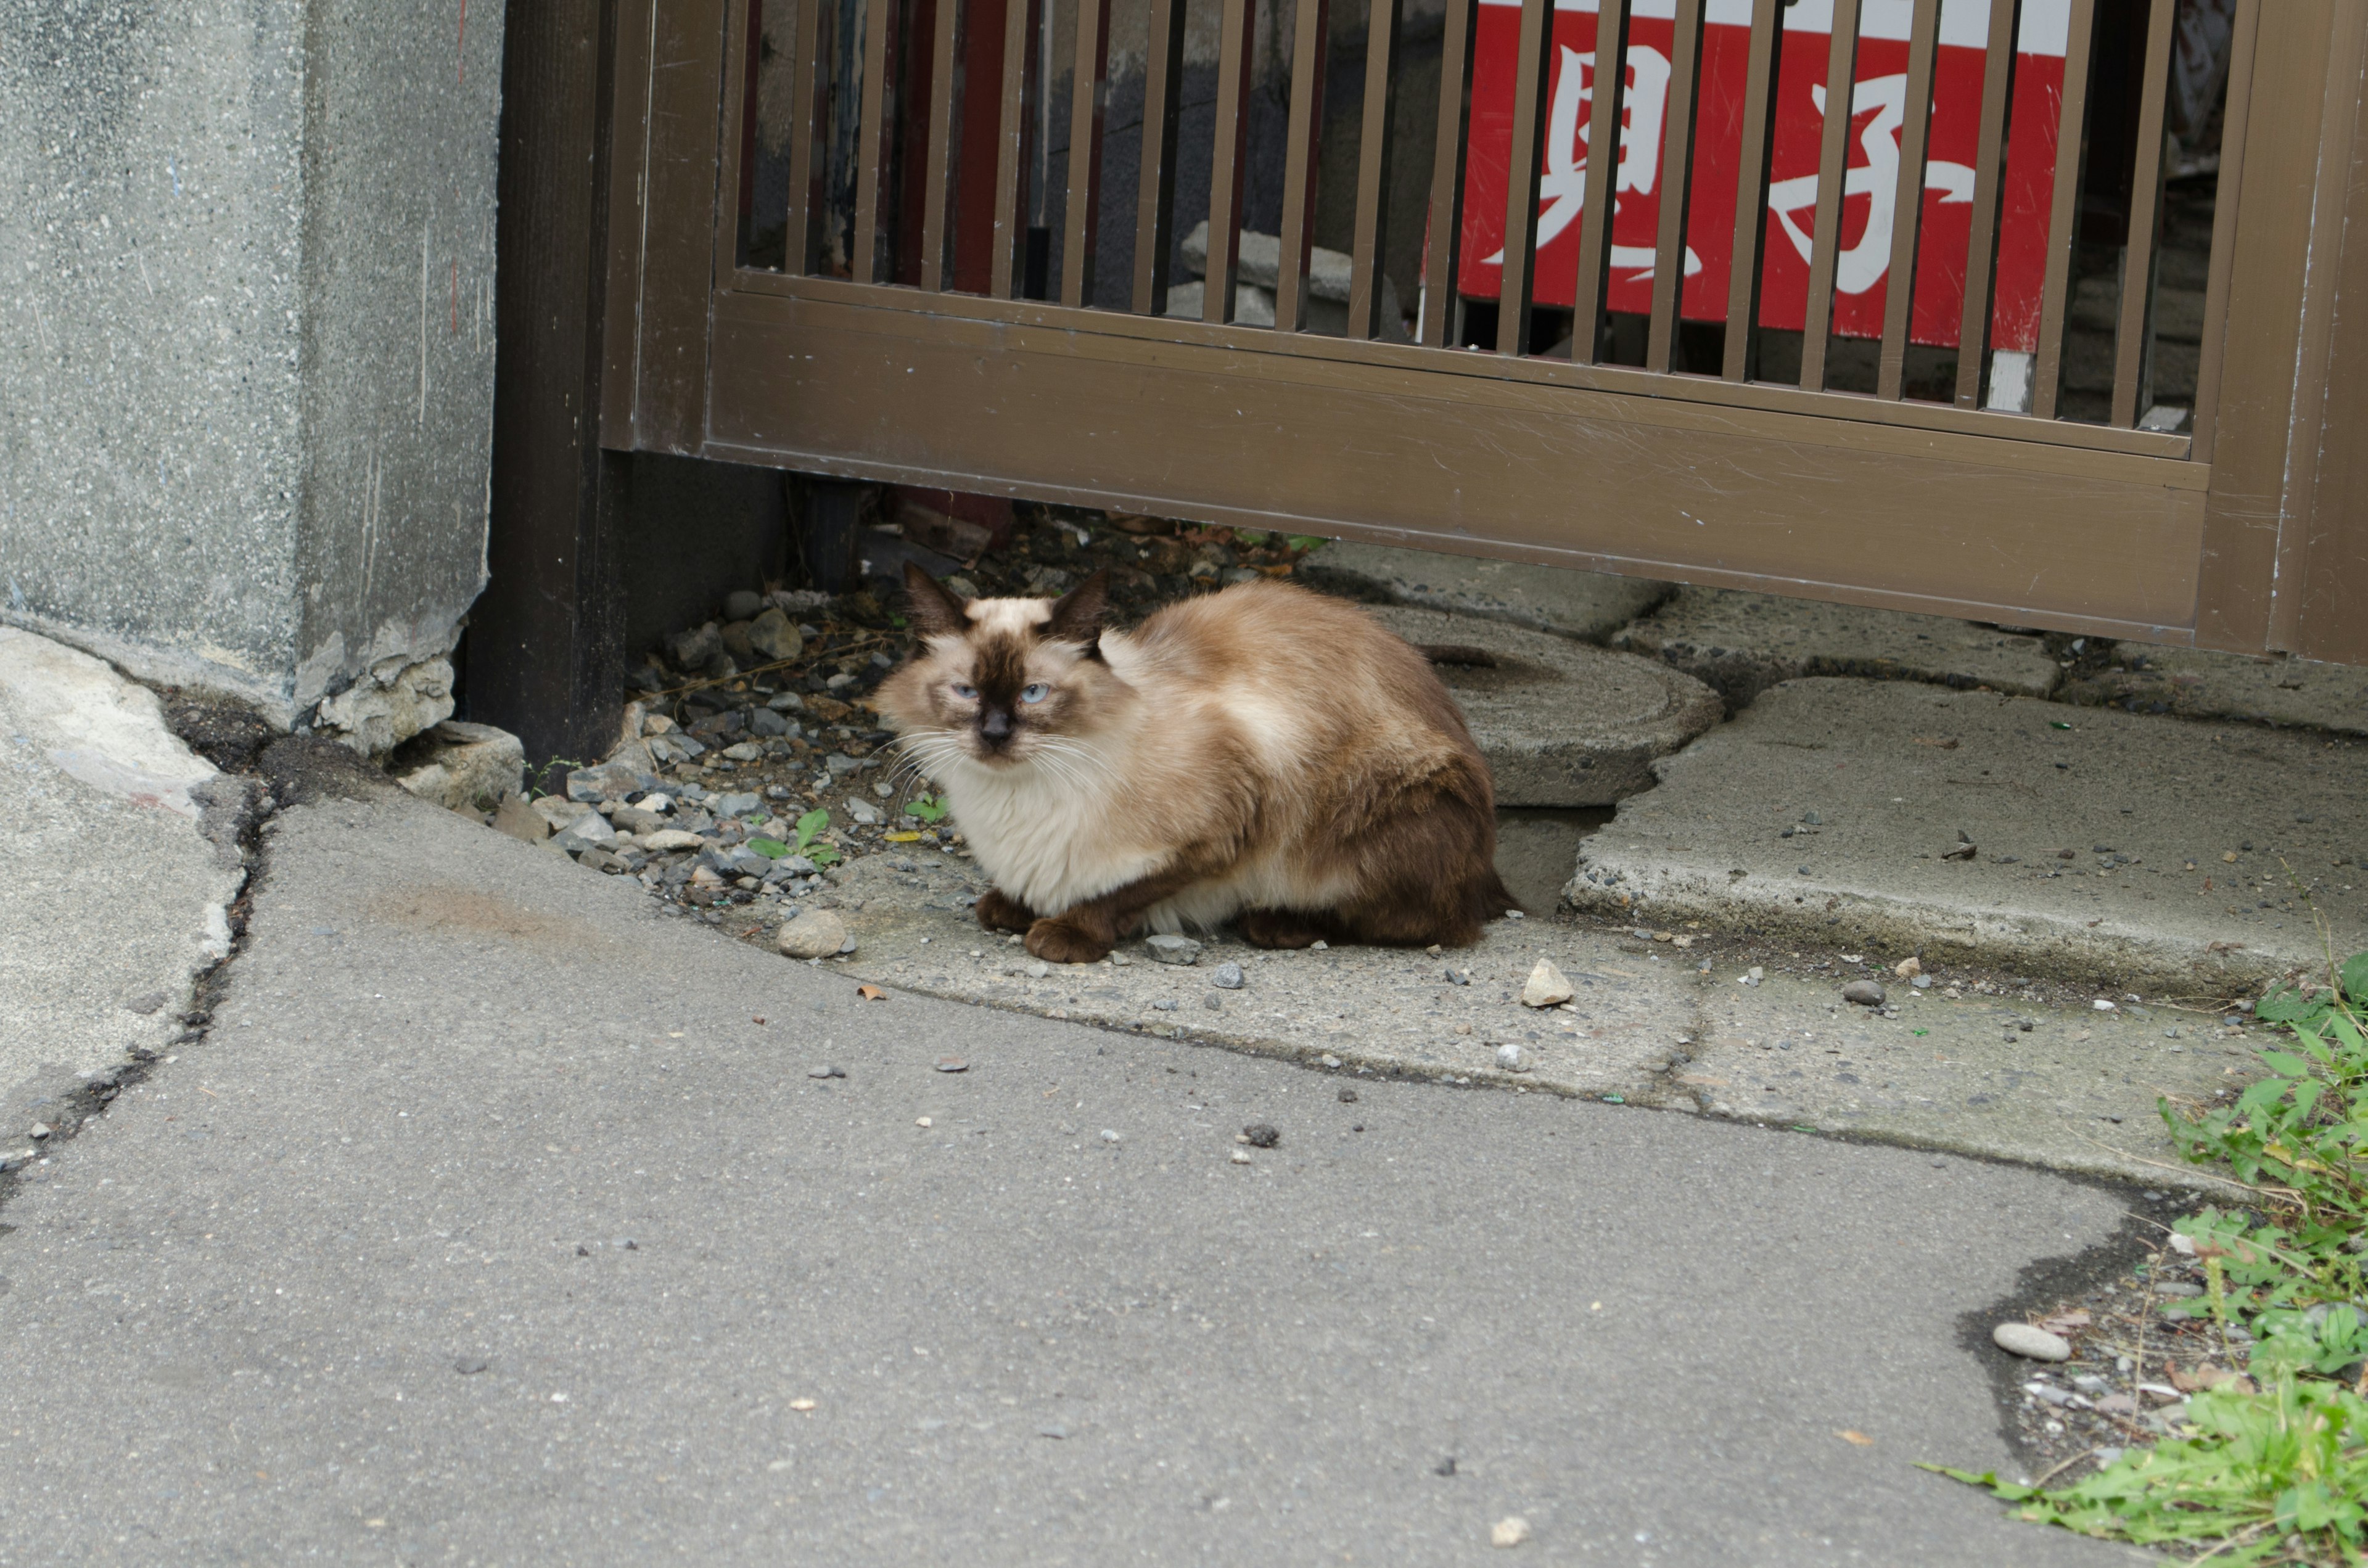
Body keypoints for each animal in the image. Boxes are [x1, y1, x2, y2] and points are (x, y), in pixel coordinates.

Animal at [876, 559, 1515, 966]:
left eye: (1033, 694)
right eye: (966, 692)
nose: (994, 734)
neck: (1017, 796)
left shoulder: (1223, 831)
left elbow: (1120, 893)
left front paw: (1063, 933)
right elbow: (1026, 888)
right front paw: (1012, 905)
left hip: (1371, 802)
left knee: (1424, 923)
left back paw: (1279, 922)